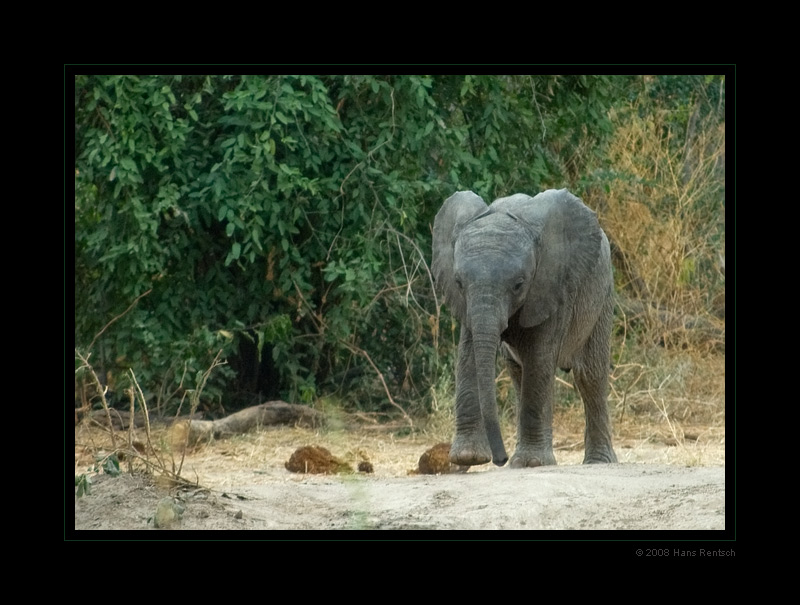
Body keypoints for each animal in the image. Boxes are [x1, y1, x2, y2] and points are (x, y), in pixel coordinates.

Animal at [432, 189, 620, 468]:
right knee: (519, 372)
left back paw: (597, 463)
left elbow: (539, 357)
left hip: (602, 295)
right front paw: (468, 458)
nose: (499, 459)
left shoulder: (552, 284)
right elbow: (468, 356)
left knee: (590, 376)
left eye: (519, 284)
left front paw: (531, 463)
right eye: (458, 282)